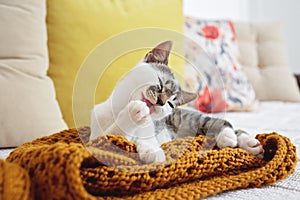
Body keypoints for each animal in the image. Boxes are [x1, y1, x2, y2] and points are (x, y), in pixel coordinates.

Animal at [90, 40, 264, 164]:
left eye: (170, 104)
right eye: (160, 83)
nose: (161, 101)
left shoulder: (151, 128)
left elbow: (145, 139)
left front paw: (151, 149)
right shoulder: (96, 138)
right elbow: (114, 135)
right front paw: (134, 115)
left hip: (192, 120)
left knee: (222, 123)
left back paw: (235, 139)